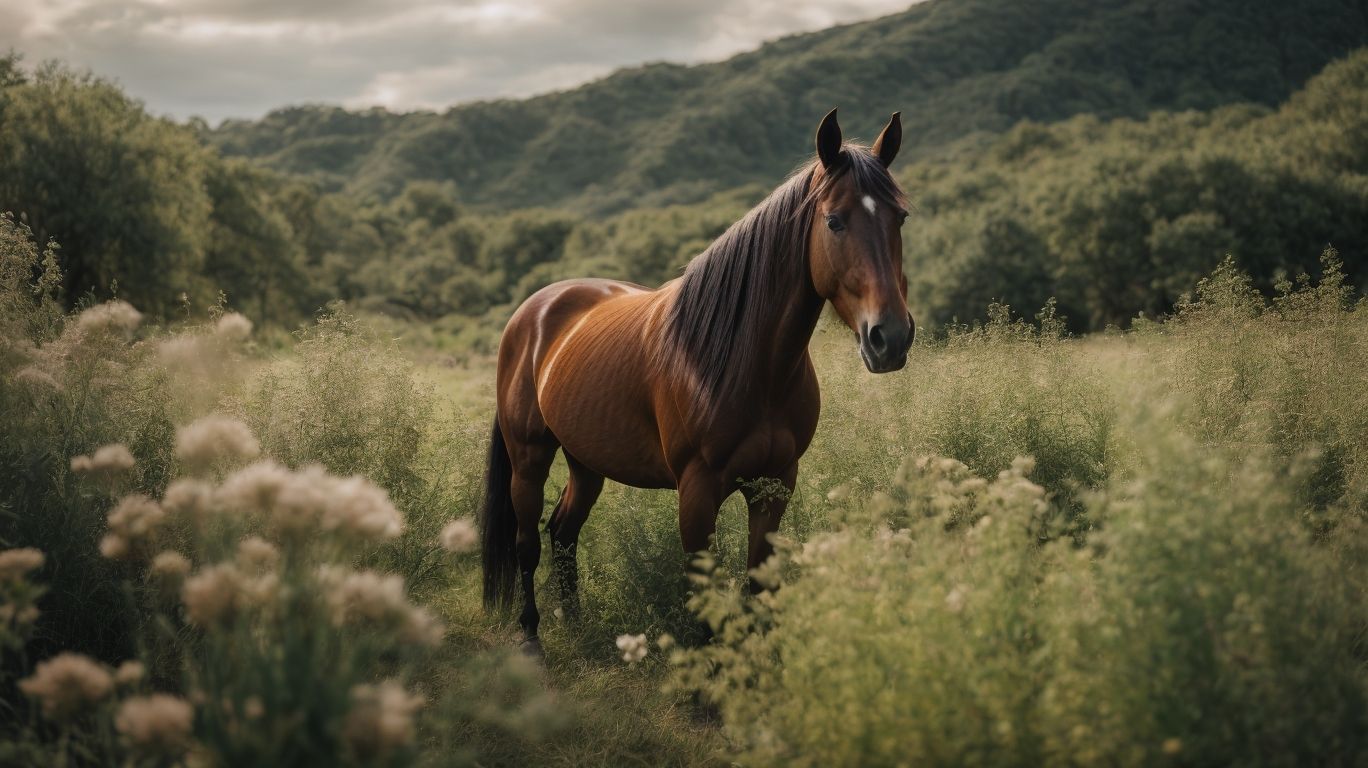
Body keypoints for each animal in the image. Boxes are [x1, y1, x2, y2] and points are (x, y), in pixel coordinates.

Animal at [480, 108, 913, 649]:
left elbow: (759, 583)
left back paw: (576, 623)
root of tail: (532, 312)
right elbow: (705, 599)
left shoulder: (775, 485)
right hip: (529, 458)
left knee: (562, 530)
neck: (748, 367)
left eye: (900, 217)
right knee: (527, 543)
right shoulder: (697, 493)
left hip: (586, 462)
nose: (890, 338)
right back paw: (532, 637)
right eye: (834, 221)